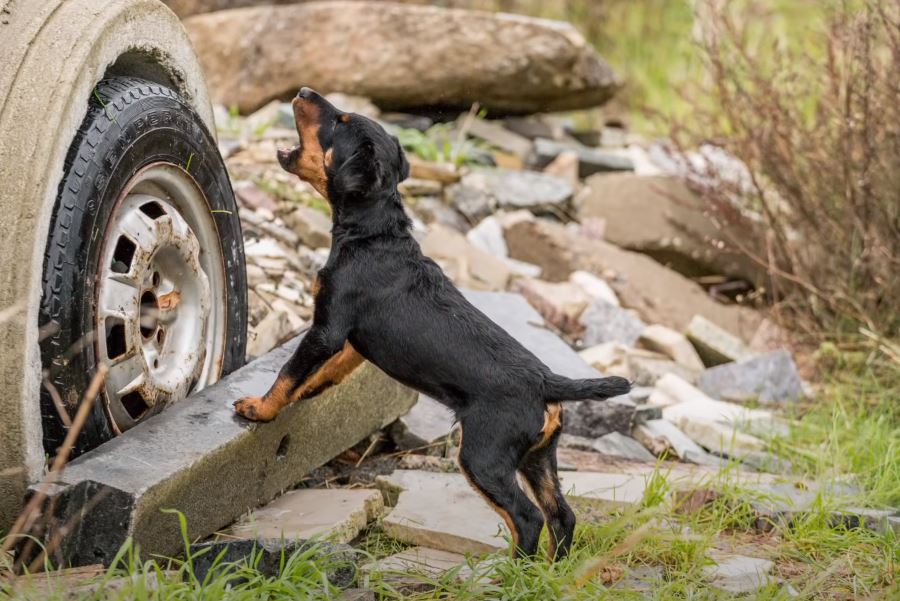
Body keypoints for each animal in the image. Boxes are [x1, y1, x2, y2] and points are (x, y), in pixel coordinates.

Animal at [236, 86, 628, 560]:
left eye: (339, 120)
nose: (304, 91)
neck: (375, 233)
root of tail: (548, 382)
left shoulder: (328, 326)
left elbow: (288, 371)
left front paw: (259, 408)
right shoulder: (353, 339)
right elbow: (327, 369)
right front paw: (311, 389)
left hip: (483, 455)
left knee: (527, 518)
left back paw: (512, 568)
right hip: (538, 457)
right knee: (562, 515)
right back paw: (552, 568)